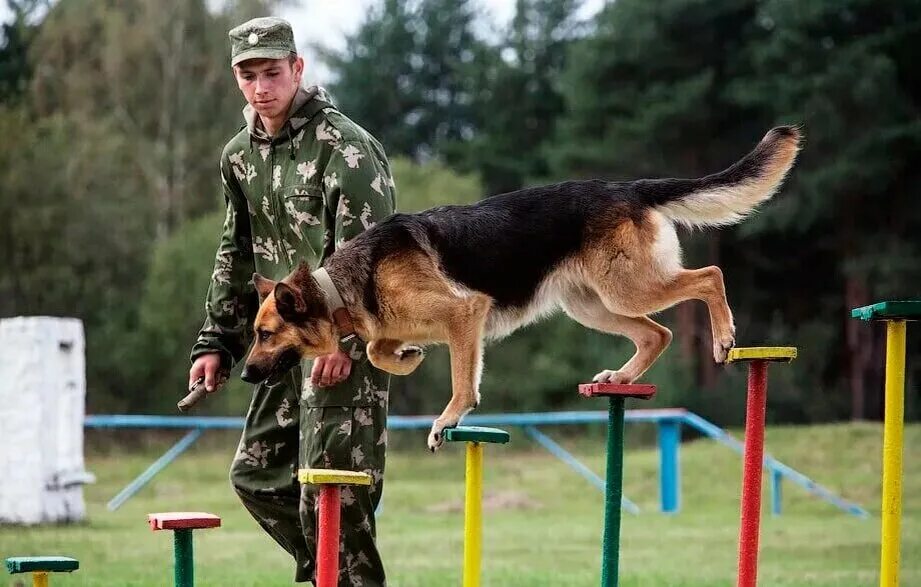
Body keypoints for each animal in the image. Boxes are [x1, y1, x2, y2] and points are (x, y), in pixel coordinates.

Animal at [241, 126, 800, 452]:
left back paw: (724, 338)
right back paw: (621, 377)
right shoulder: (413, 325)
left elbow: (462, 384)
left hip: (628, 289)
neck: (343, 284)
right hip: (591, 305)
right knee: (656, 334)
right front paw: (406, 357)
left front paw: (446, 418)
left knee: (710, 276)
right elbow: (380, 348)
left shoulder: (465, 314)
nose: (243, 374)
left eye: (265, 334)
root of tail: (628, 187)